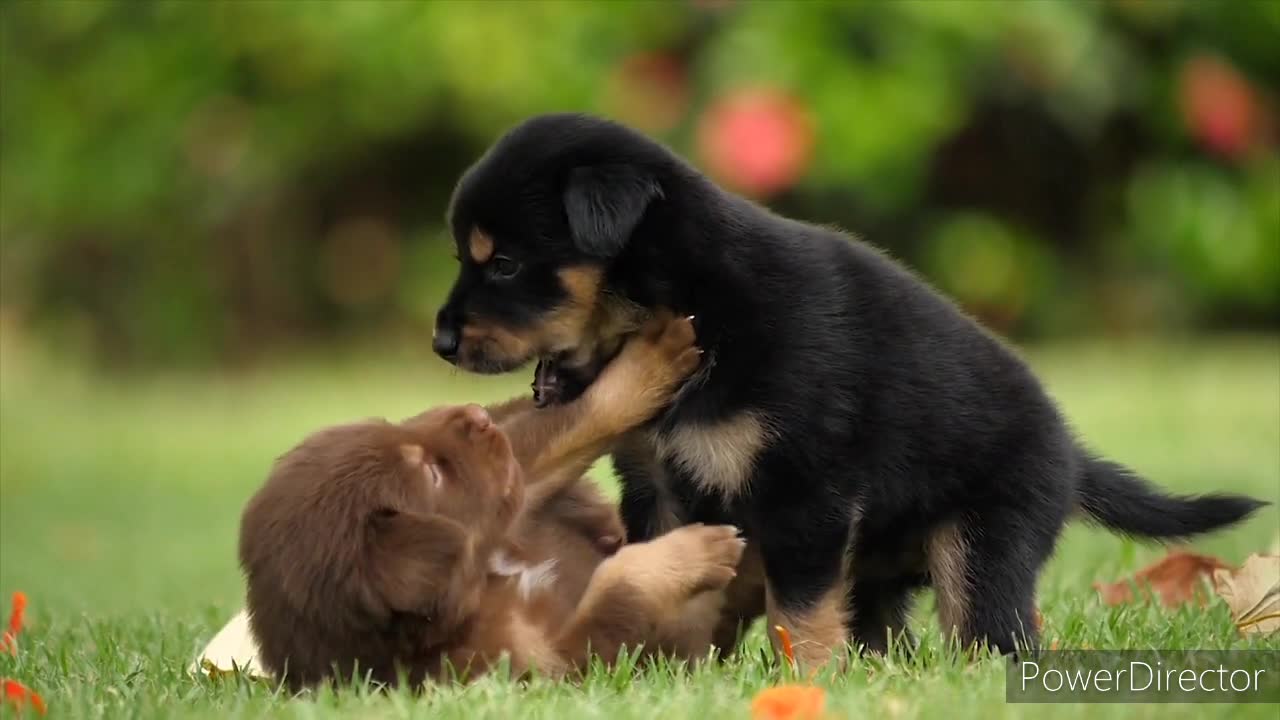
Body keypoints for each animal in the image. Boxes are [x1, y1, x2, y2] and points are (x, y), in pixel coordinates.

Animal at [240, 313, 747, 681]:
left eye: (392, 427)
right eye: (431, 474)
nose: (477, 416)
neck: (485, 583)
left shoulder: (511, 495)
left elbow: (564, 424)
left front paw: (649, 359)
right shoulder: (549, 666)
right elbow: (618, 590)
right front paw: (696, 552)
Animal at [432, 113, 1269, 666]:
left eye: (503, 263)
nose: (439, 343)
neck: (693, 301)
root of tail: (1070, 450)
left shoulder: (805, 489)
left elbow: (798, 607)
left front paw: (808, 679)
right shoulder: (657, 483)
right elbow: (670, 568)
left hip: (985, 540)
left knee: (992, 630)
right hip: (883, 567)